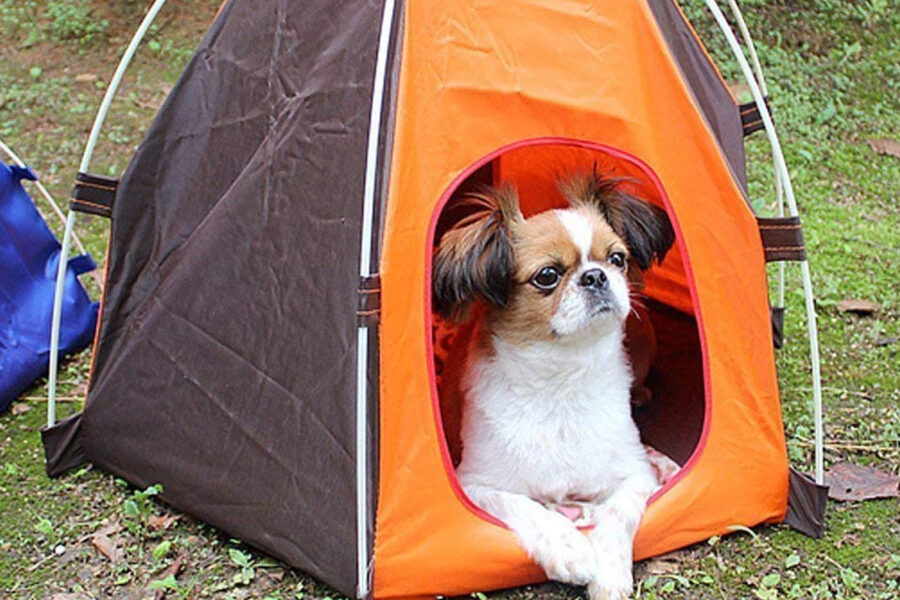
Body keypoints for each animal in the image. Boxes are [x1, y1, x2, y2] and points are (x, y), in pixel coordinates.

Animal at [430, 171, 676, 600]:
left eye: (617, 259)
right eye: (547, 276)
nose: (595, 276)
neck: (562, 380)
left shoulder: (637, 475)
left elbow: (619, 511)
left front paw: (609, 571)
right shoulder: (474, 485)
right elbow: (522, 506)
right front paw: (568, 548)